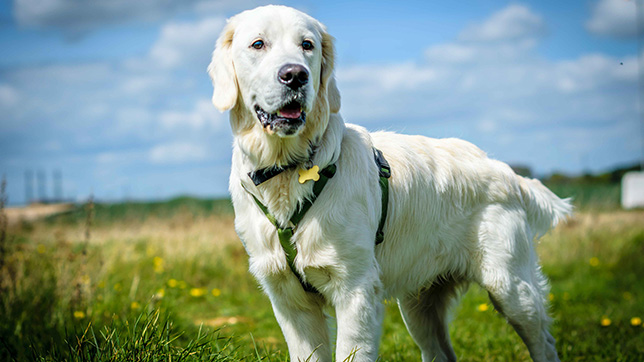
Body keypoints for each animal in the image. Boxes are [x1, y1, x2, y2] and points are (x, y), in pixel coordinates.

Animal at [209, 6, 572, 362]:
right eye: (258, 44)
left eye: (307, 45)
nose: (296, 75)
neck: (286, 170)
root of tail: (507, 171)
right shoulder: (288, 298)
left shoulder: (355, 287)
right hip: (419, 303)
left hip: (511, 287)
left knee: (544, 342)